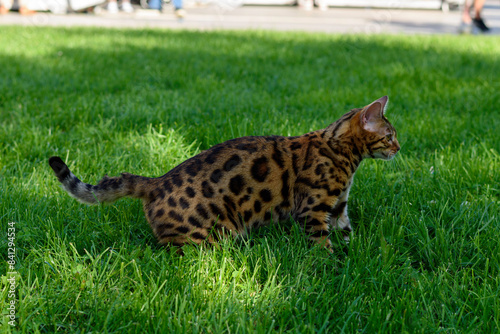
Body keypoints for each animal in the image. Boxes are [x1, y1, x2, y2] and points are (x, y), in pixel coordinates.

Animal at [47, 95, 398, 252]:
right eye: (390, 135)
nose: (399, 147)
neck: (341, 151)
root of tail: (156, 181)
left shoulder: (338, 206)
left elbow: (346, 232)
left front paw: (356, 254)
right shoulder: (313, 208)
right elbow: (320, 242)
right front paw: (330, 263)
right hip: (212, 234)